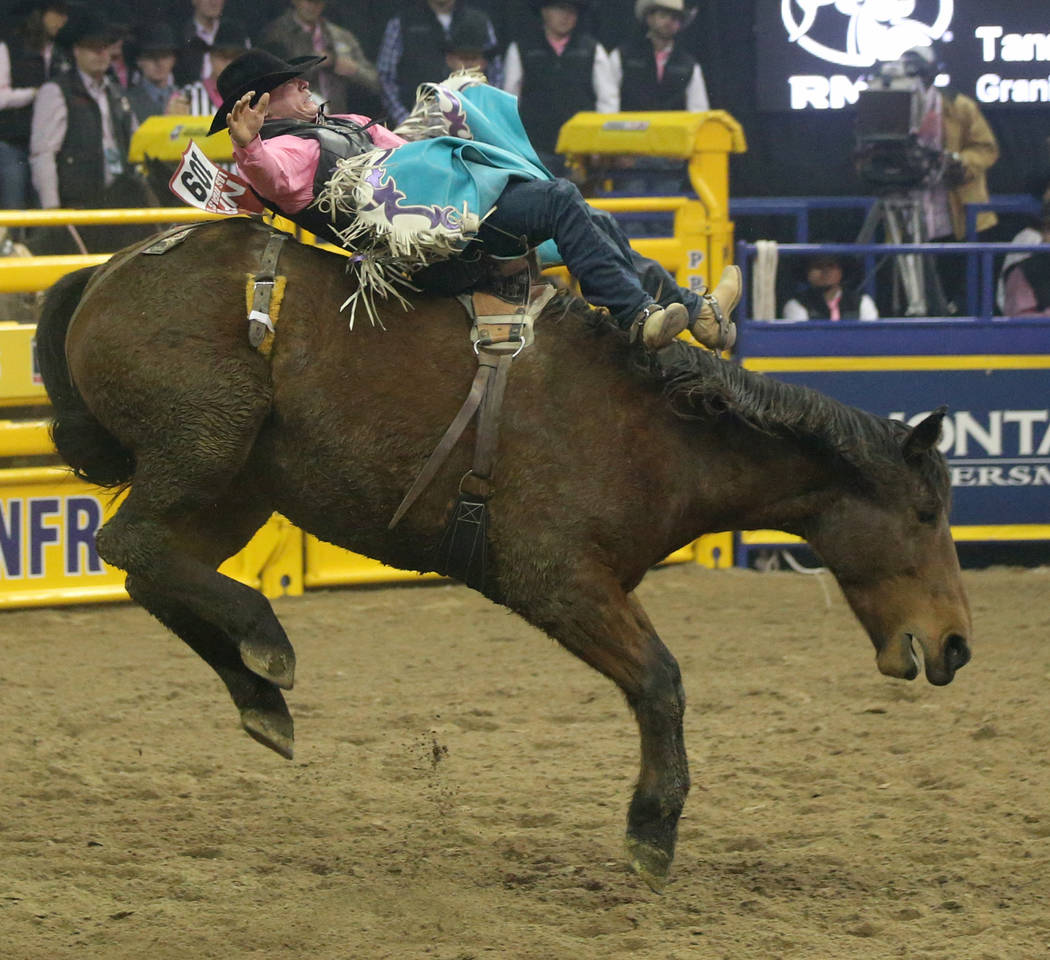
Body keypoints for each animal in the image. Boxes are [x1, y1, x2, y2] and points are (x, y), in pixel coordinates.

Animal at [37, 218, 970, 890]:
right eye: (926, 512)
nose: (957, 645)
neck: (662, 432)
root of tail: (110, 269)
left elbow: (657, 684)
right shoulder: (558, 581)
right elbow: (661, 682)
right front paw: (652, 832)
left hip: (232, 485)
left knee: (151, 568)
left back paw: (260, 696)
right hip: (202, 448)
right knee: (128, 543)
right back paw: (267, 639)